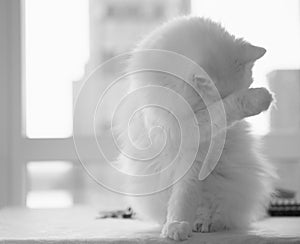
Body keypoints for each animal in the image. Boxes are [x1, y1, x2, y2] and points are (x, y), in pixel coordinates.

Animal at [113, 16, 276, 240]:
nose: (222, 137)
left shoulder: (194, 150)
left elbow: (185, 195)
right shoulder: (185, 129)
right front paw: (176, 227)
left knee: (216, 213)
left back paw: (204, 224)